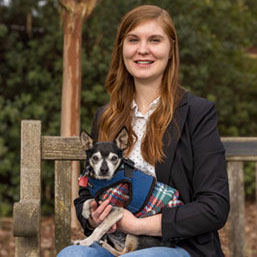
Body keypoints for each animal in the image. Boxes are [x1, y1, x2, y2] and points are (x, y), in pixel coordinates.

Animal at [73, 126, 182, 254]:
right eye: (95, 158)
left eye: (114, 158)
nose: (104, 169)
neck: (106, 180)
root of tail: (171, 244)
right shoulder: (103, 200)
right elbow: (89, 200)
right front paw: (85, 211)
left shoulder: (116, 209)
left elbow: (98, 229)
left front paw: (86, 242)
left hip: (136, 233)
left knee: (125, 252)